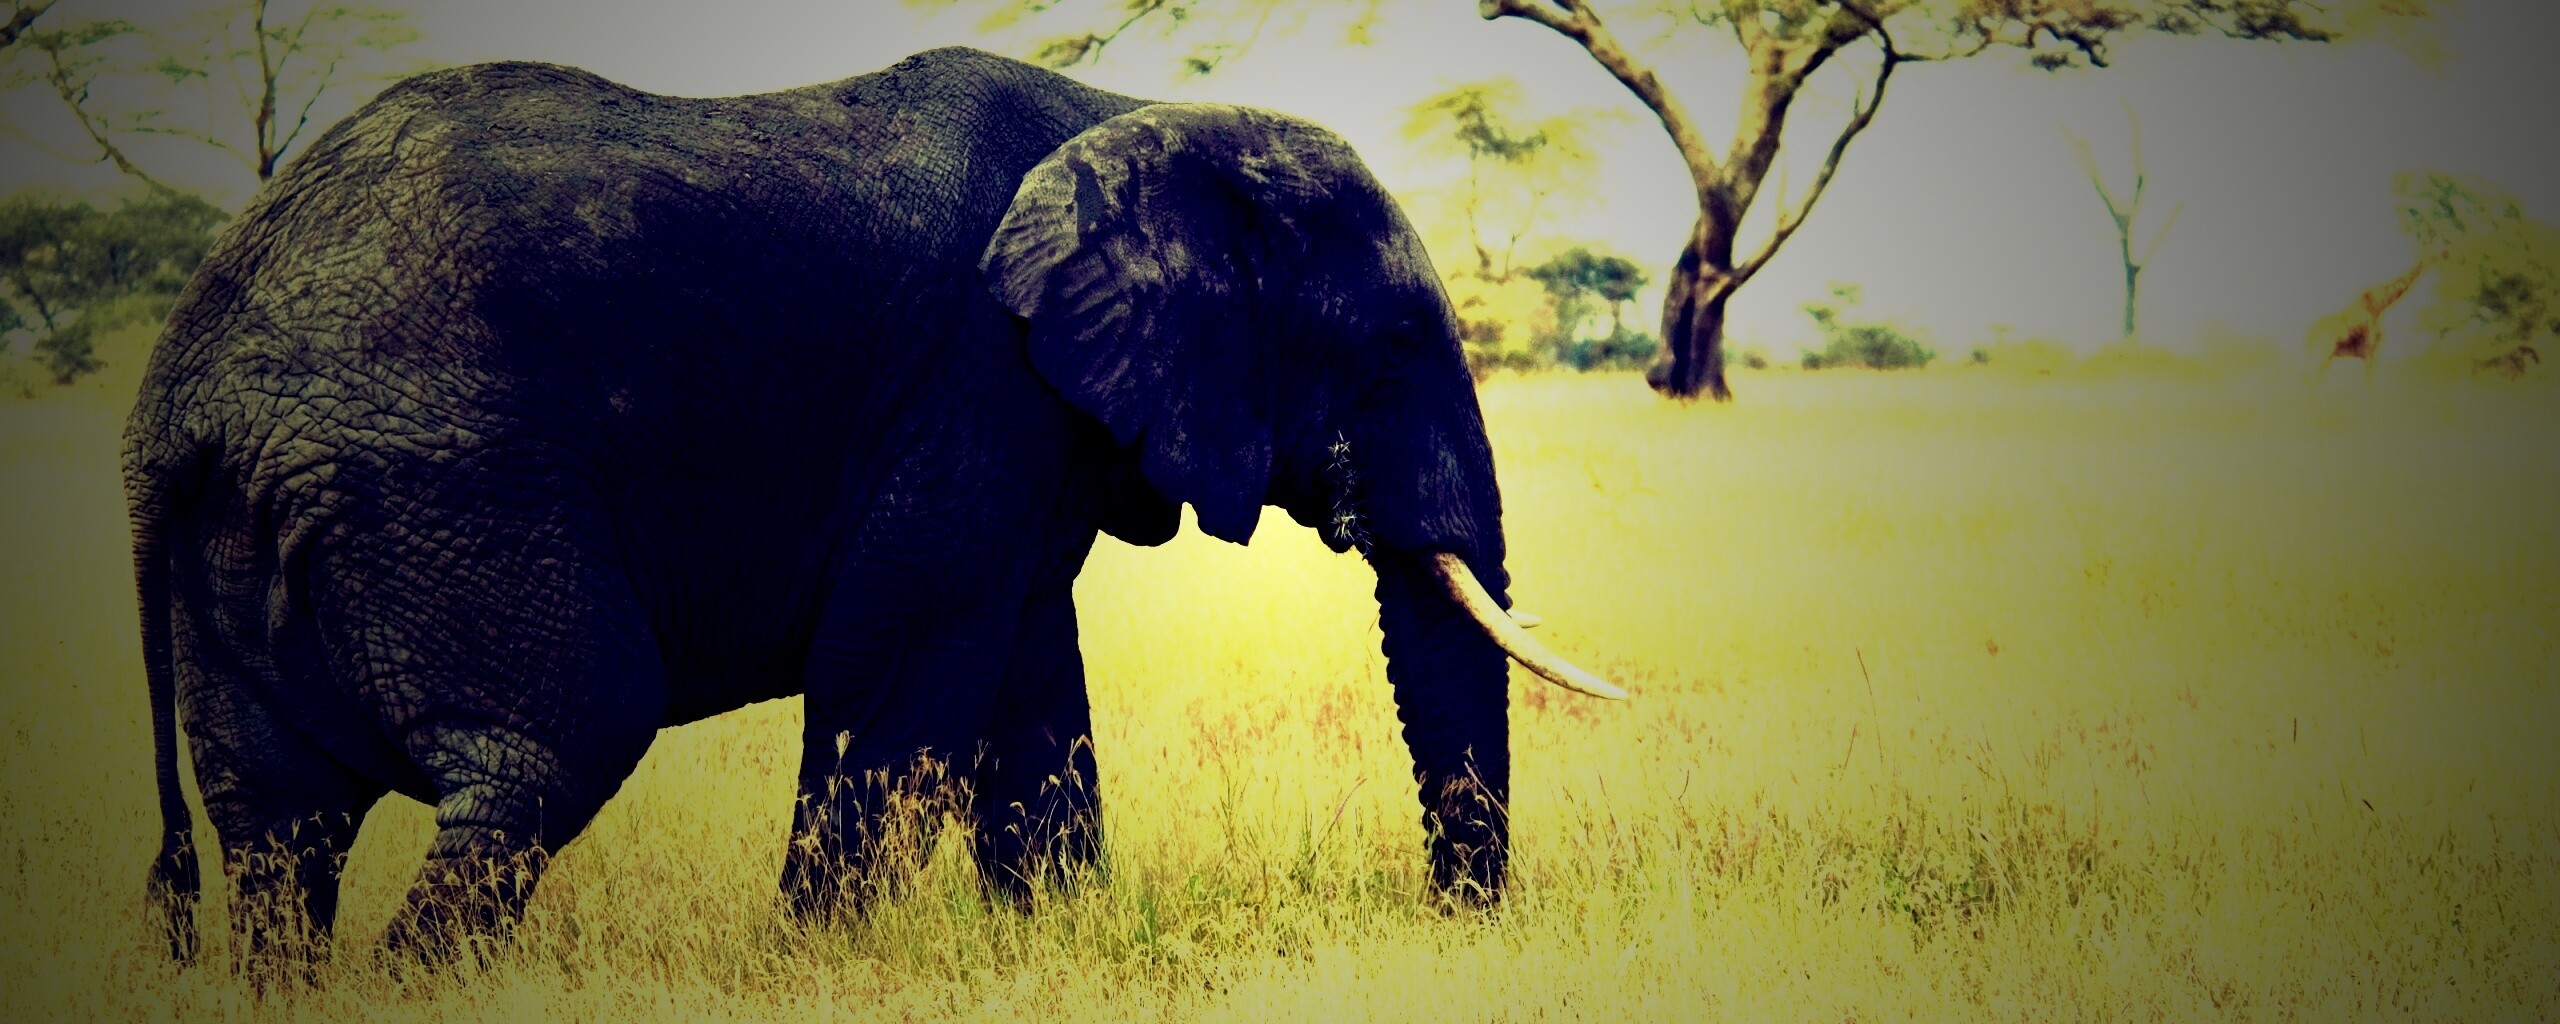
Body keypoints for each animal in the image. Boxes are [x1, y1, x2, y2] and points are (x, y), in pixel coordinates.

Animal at [122, 45, 1622, 968]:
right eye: (1392, 344)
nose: (1455, 924)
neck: (1132, 113)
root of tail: (175, 403)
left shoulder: (1028, 420)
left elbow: (1028, 683)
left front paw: (1052, 945)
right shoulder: (975, 378)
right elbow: (900, 670)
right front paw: (819, 966)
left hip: (268, 529)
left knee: (279, 825)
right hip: (440, 491)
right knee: (549, 746)